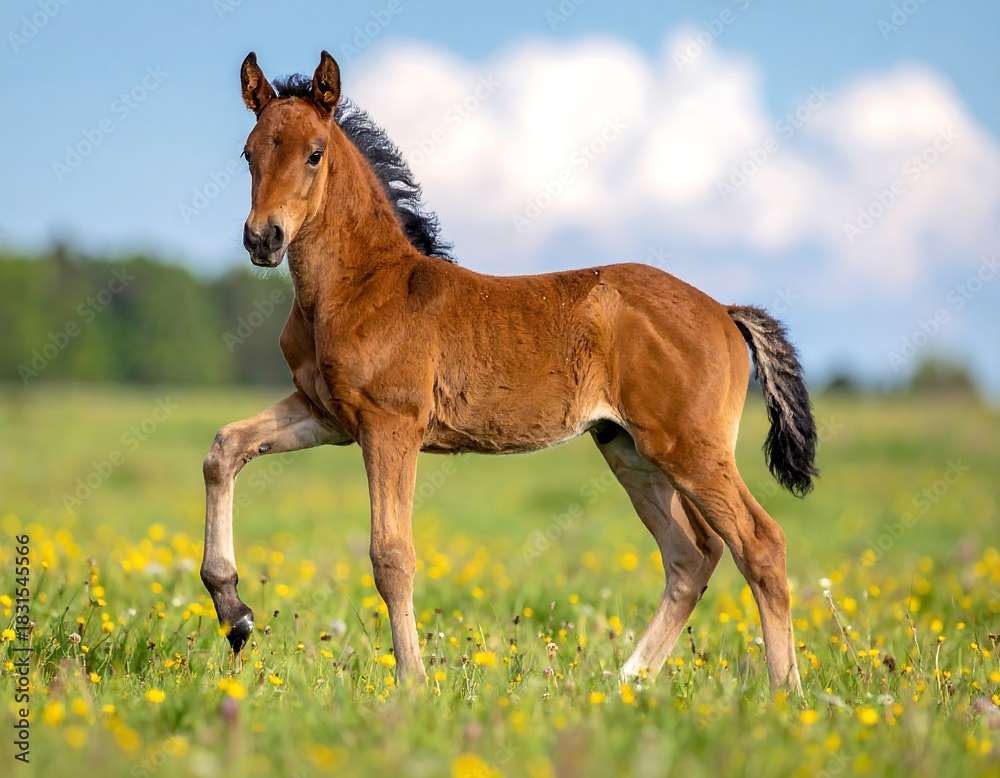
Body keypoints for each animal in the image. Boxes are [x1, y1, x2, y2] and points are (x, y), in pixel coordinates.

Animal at [200, 50, 818, 692]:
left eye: (315, 152)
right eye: (248, 152)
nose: (262, 238)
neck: (359, 284)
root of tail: (722, 309)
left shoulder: (390, 426)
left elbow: (392, 555)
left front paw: (413, 683)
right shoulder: (325, 414)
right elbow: (224, 448)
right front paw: (234, 613)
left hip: (690, 447)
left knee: (759, 543)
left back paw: (785, 694)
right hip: (629, 448)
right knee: (691, 554)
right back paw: (623, 680)